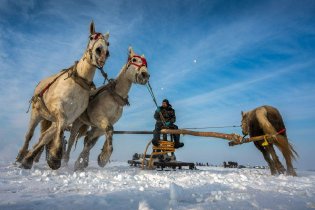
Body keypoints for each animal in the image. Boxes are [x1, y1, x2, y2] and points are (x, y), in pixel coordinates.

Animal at [18, 21, 111, 170]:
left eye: (107, 43)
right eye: (91, 37)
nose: (102, 52)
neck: (78, 83)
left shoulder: (70, 118)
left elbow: (52, 136)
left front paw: (52, 158)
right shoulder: (59, 110)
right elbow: (58, 129)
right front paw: (55, 157)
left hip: (53, 119)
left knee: (44, 136)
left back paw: (29, 159)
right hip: (36, 113)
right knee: (29, 135)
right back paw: (21, 157)